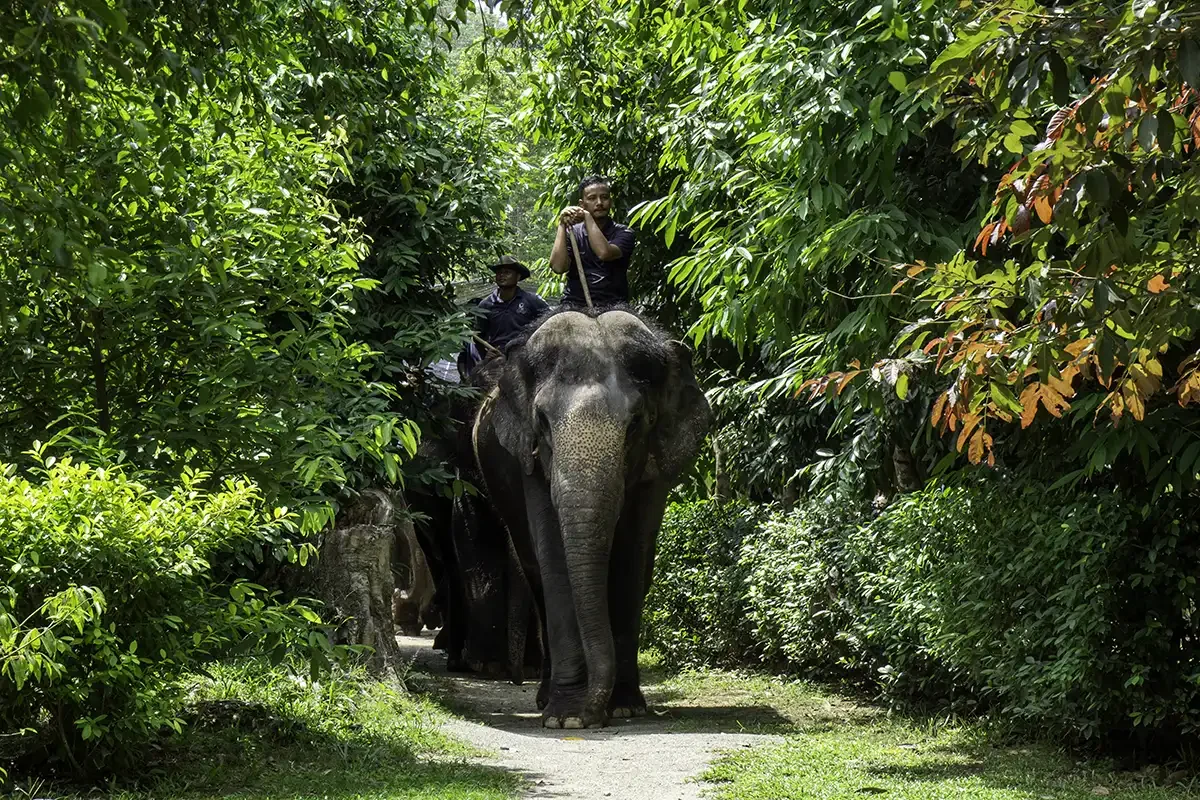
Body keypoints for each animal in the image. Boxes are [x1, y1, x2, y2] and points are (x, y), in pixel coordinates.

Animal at [472, 307, 710, 728]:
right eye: (543, 422)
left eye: (636, 423)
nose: (591, 714)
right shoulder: (530, 462)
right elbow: (554, 559)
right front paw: (566, 719)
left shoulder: (655, 469)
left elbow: (631, 558)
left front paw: (623, 708)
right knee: (536, 576)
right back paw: (545, 699)